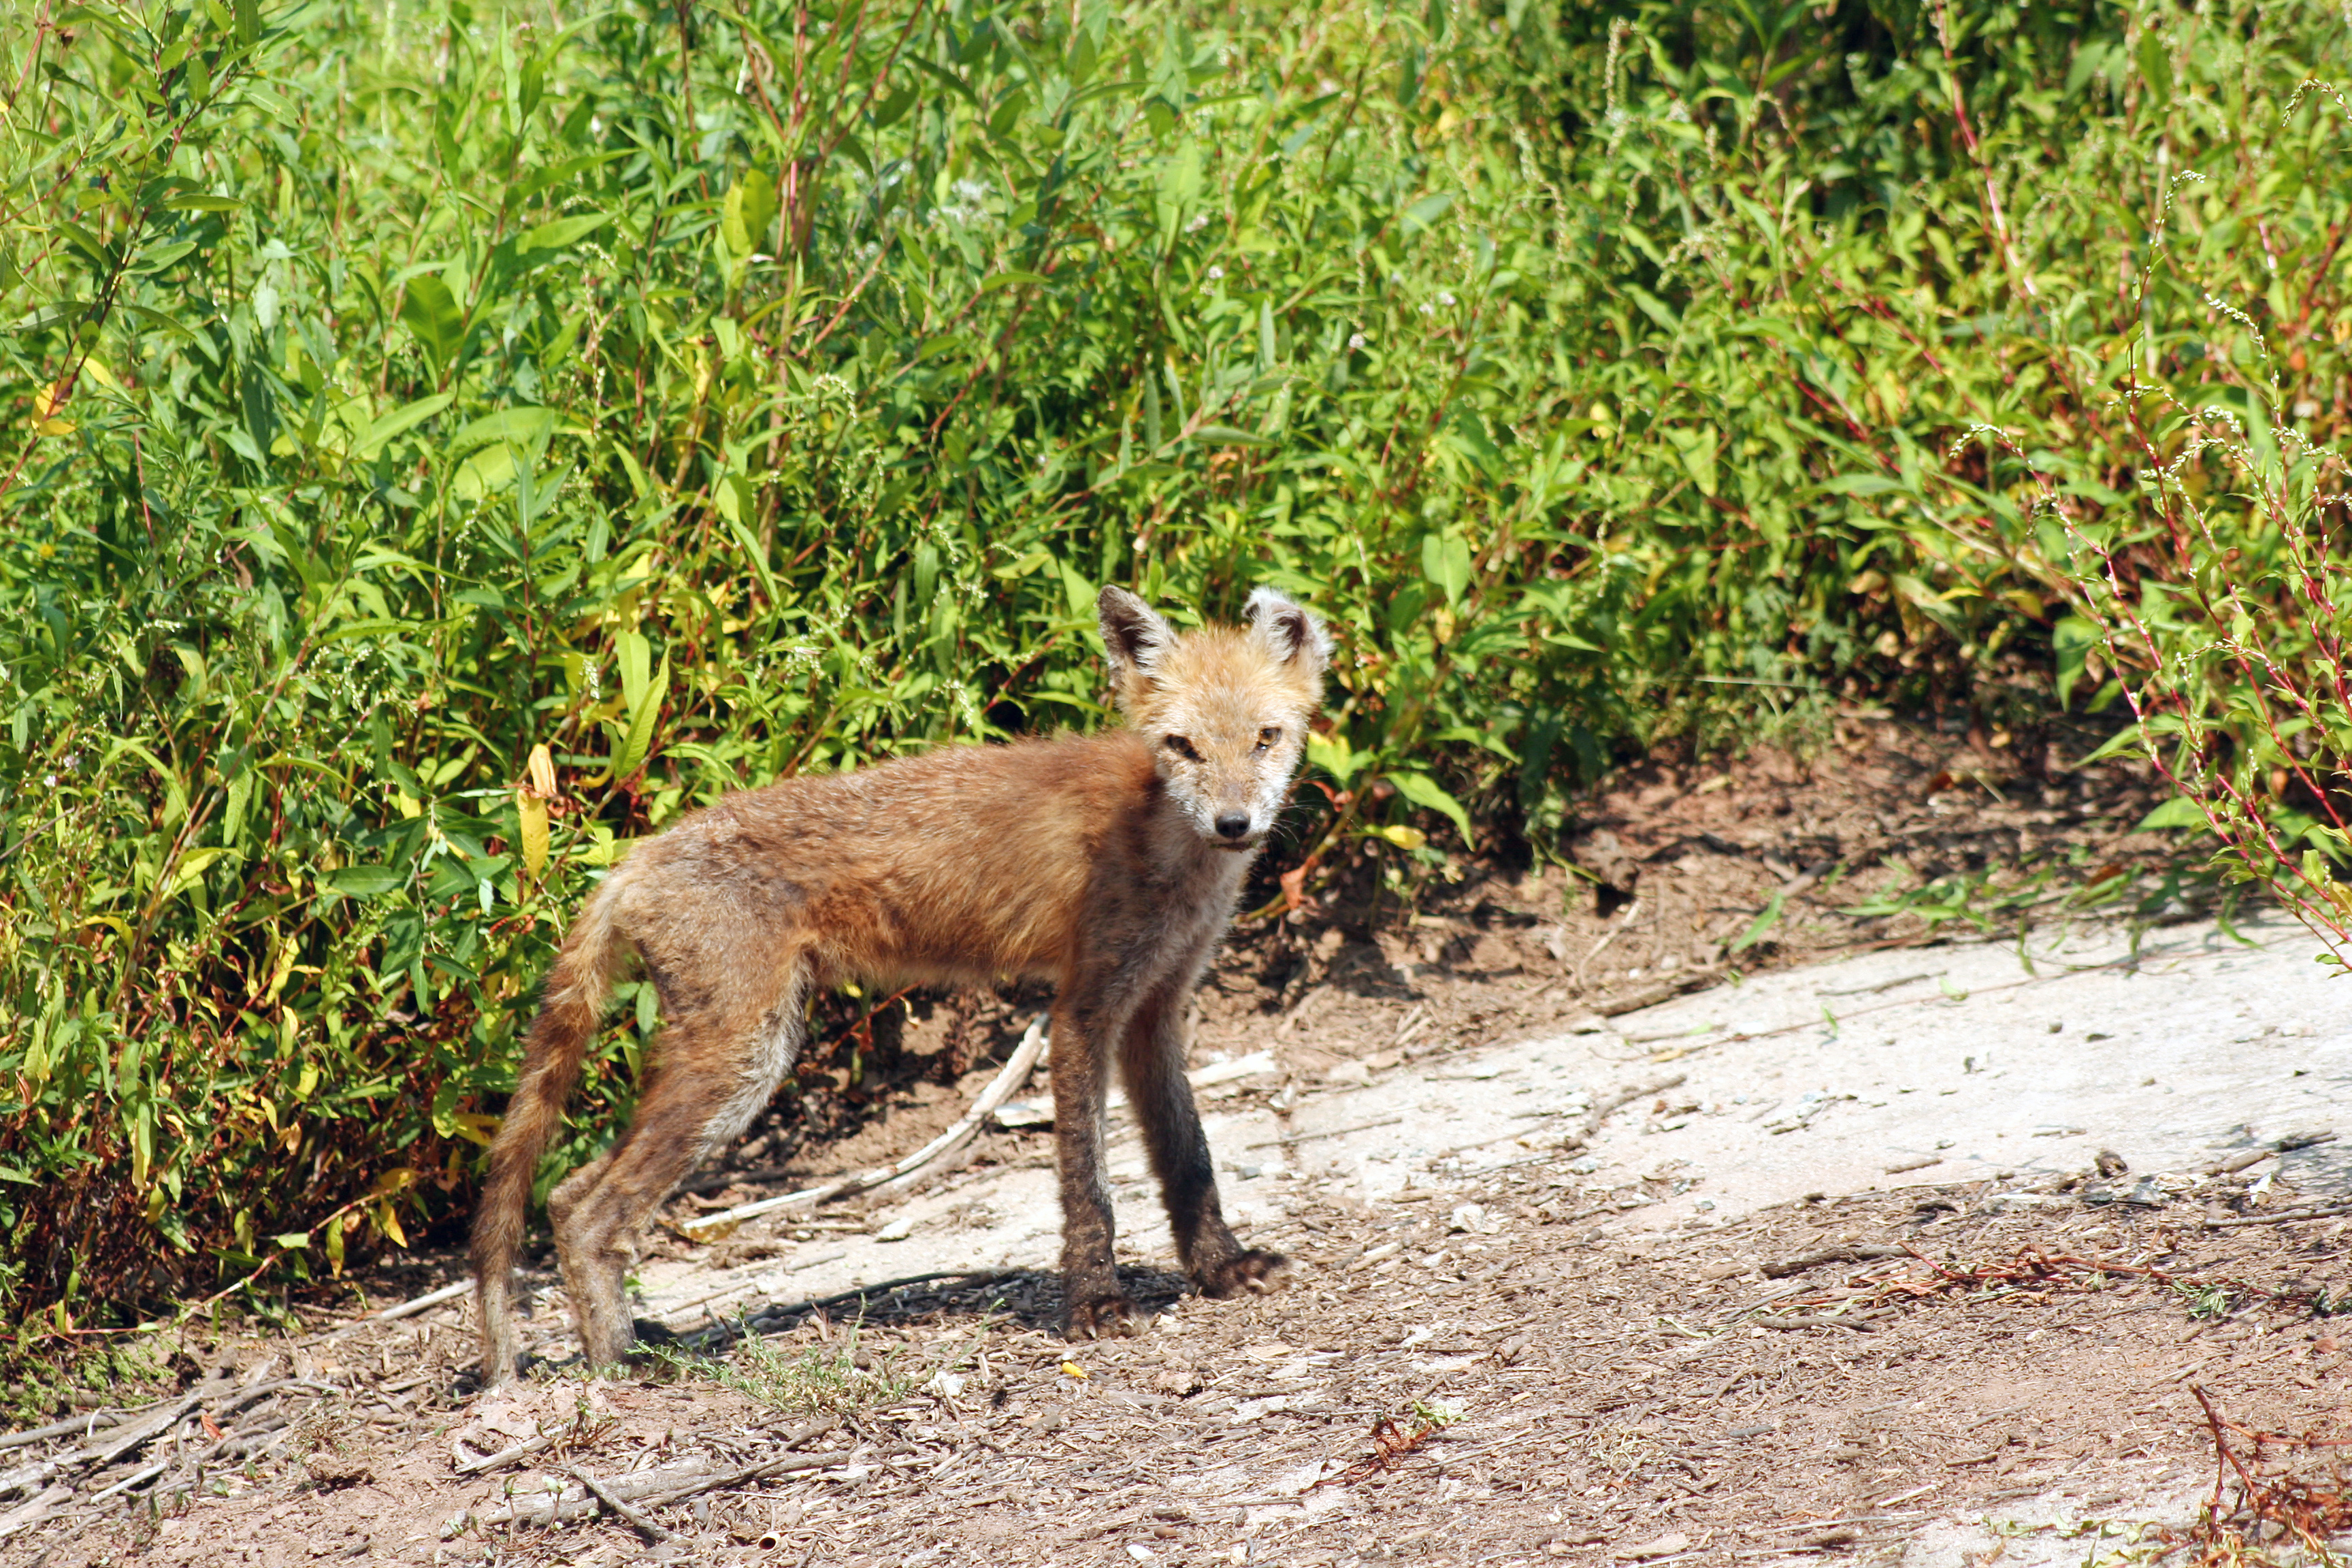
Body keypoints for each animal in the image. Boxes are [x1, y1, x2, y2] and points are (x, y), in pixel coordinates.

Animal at [468, 585, 1336, 1382]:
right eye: (1183, 746)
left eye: (1266, 739)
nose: (1235, 825)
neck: (1160, 839)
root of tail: (632, 860)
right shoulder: (1083, 1010)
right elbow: (1088, 1183)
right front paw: (1094, 1303)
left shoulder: (1157, 1006)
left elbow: (1190, 1157)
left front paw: (1221, 1268)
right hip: (741, 1066)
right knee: (587, 1214)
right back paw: (617, 1365)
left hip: (736, 1065)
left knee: (564, 1195)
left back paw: (632, 1342)